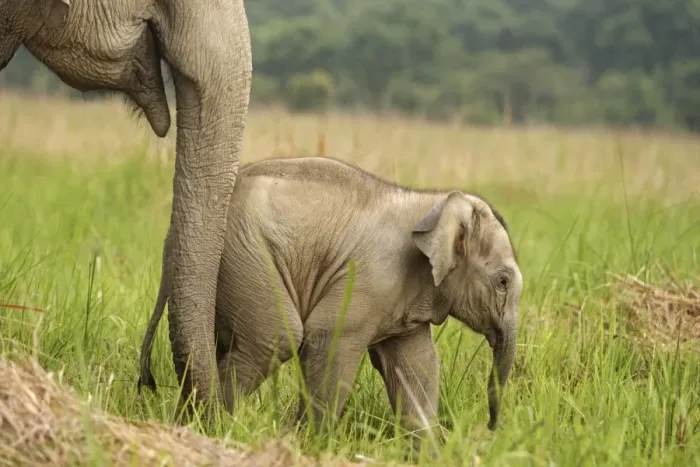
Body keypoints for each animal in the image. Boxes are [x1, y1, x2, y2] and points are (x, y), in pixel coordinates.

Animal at [138, 156, 522, 441]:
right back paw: (213, 428)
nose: (491, 427)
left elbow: (417, 366)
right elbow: (330, 339)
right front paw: (305, 443)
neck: (434, 201)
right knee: (274, 338)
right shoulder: (367, 278)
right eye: (502, 282)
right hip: (245, 253)